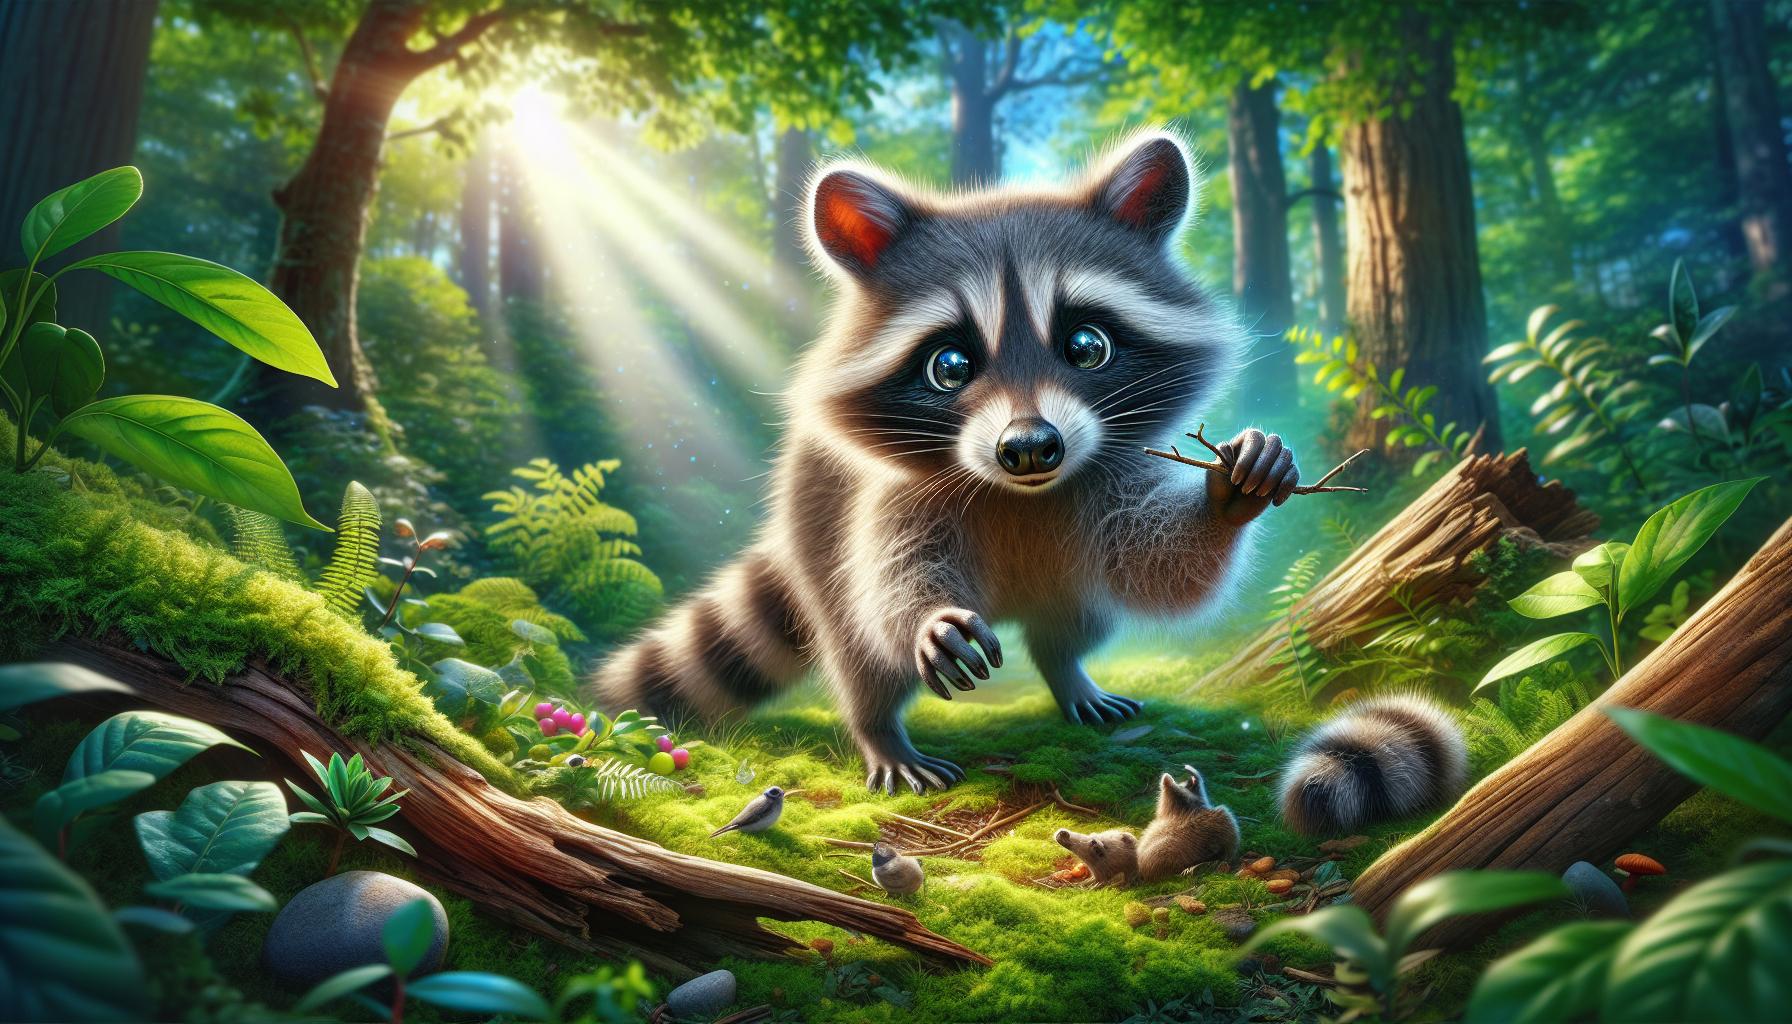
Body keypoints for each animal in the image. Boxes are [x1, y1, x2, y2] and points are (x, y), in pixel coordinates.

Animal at [594, 130, 1302, 793]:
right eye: (950, 365)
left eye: (1086, 347)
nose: (1029, 446)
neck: (1022, 495)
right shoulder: (889, 495)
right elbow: (889, 584)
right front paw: (927, 622)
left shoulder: (1112, 470)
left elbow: (1160, 562)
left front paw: (1226, 496)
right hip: (814, 536)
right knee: (859, 651)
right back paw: (879, 730)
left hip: (1067, 587)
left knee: (1076, 622)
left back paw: (1065, 669)